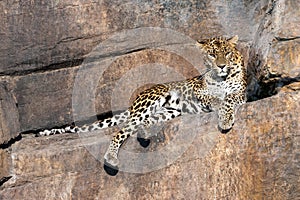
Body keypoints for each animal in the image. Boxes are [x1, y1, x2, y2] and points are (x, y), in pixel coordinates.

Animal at [38, 35, 246, 172]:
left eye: (227, 53)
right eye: (212, 55)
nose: (221, 66)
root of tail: (134, 103)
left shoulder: (241, 94)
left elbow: (229, 98)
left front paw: (225, 117)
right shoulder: (198, 90)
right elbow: (214, 97)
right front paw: (220, 110)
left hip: (170, 111)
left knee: (143, 123)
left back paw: (145, 133)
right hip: (153, 99)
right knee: (120, 131)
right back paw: (111, 157)